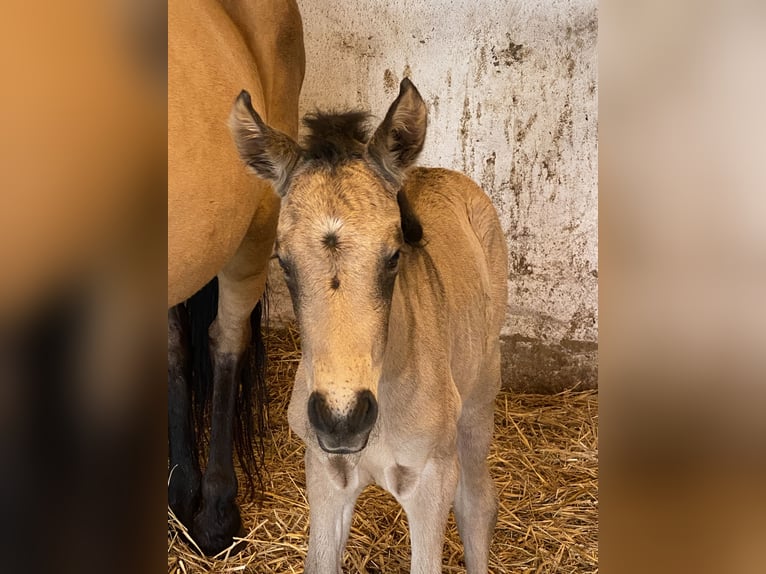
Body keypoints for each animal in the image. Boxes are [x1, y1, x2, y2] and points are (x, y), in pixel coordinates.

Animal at [231, 79, 512, 572]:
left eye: (394, 255)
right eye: (282, 261)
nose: (343, 421)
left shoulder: (430, 480)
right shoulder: (326, 474)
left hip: (479, 398)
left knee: (477, 504)